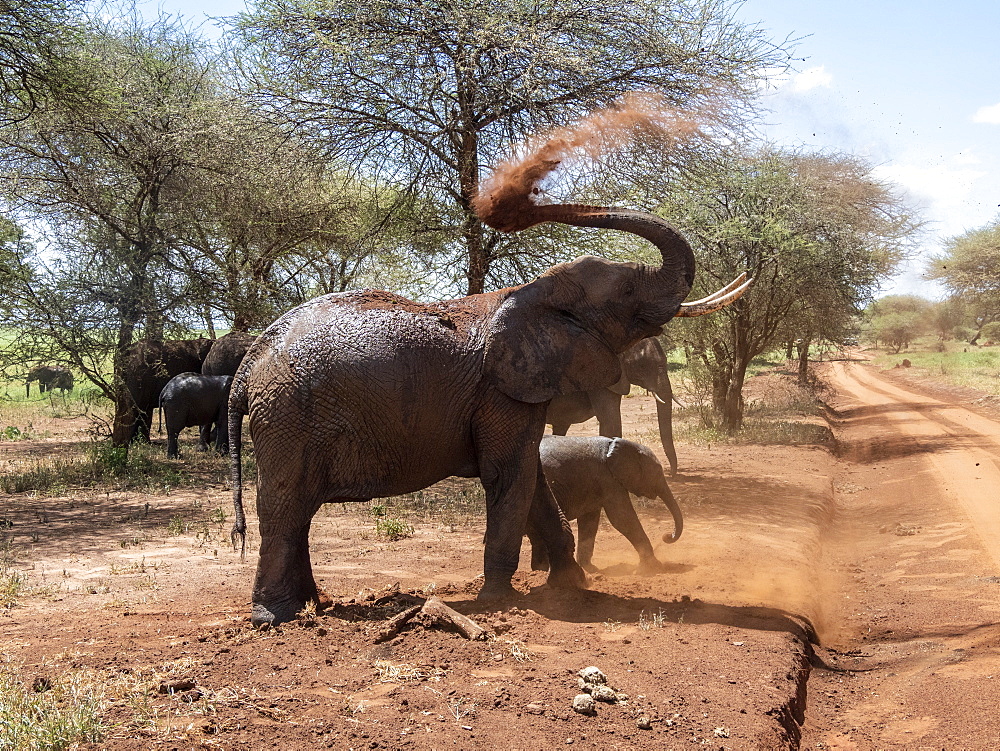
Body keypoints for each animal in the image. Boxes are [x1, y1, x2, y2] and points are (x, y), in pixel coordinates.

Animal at [528, 434, 684, 576]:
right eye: (657, 472)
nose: (667, 536)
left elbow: (589, 522)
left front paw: (592, 570)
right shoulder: (608, 479)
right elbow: (622, 518)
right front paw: (655, 567)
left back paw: (540, 572)